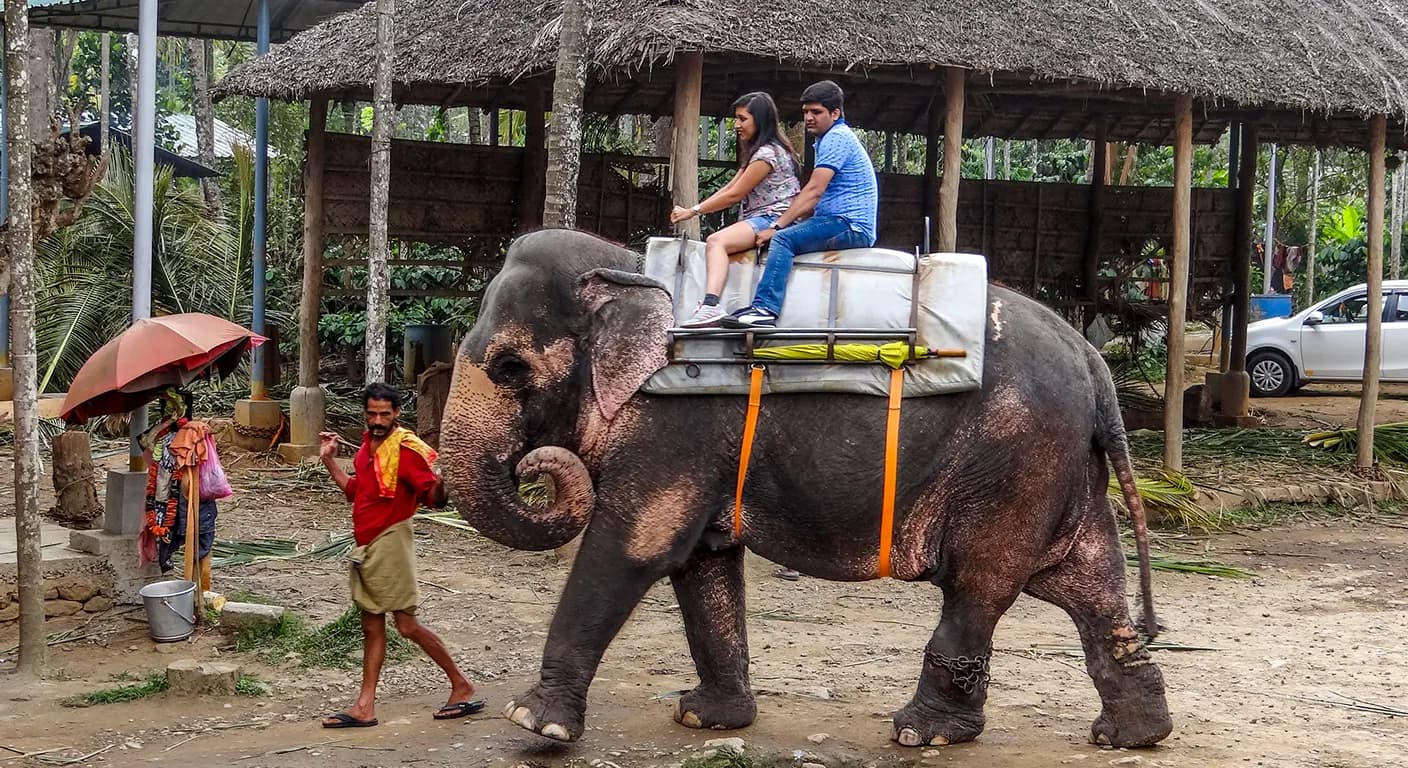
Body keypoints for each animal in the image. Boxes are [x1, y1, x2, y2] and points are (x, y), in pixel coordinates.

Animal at [440, 228, 1172, 749]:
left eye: (509, 367)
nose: (533, 467)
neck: (629, 267)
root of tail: (1093, 360)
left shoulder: (676, 425)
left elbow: (634, 547)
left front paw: (534, 724)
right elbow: (702, 561)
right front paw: (706, 720)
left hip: (1014, 466)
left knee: (979, 585)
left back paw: (921, 732)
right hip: (1061, 469)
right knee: (1089, 585)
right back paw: (1131, 737)